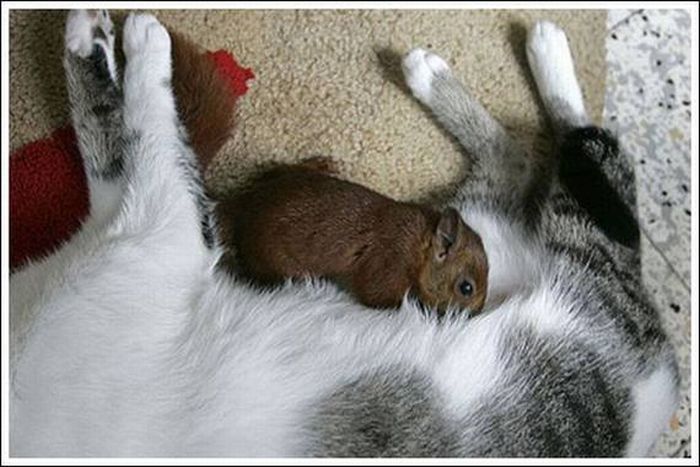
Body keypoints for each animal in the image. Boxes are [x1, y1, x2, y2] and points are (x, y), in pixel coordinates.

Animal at [216, 159, 490, 316]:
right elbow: (379, 298)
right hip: (274, 261)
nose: (476, 314)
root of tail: (244, 206)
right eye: (466, 288)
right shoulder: (388, 264)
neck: (420, 244)